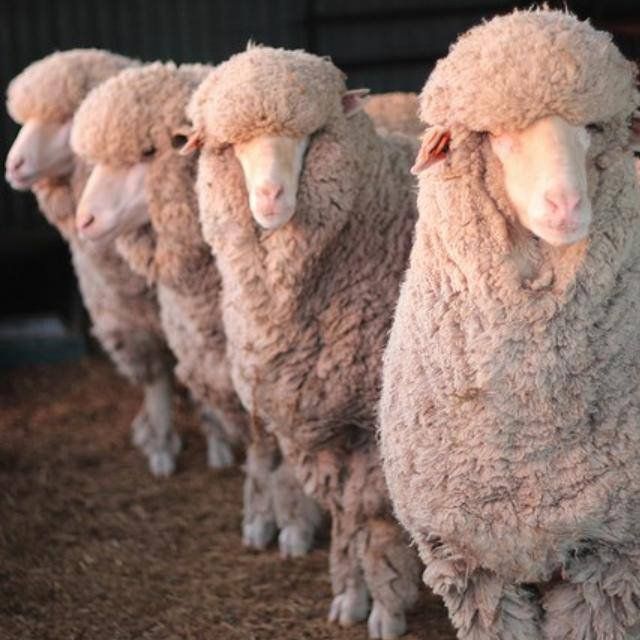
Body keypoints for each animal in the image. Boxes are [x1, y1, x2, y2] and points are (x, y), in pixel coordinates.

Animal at [184, 46, 422, 639]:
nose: (270, 197)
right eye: (230, 146)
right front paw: (351, 594)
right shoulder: (317, 423)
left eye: (310, 135)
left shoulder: (372, 425)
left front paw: (386, 608)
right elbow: (344, 515)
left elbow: (373, 516)